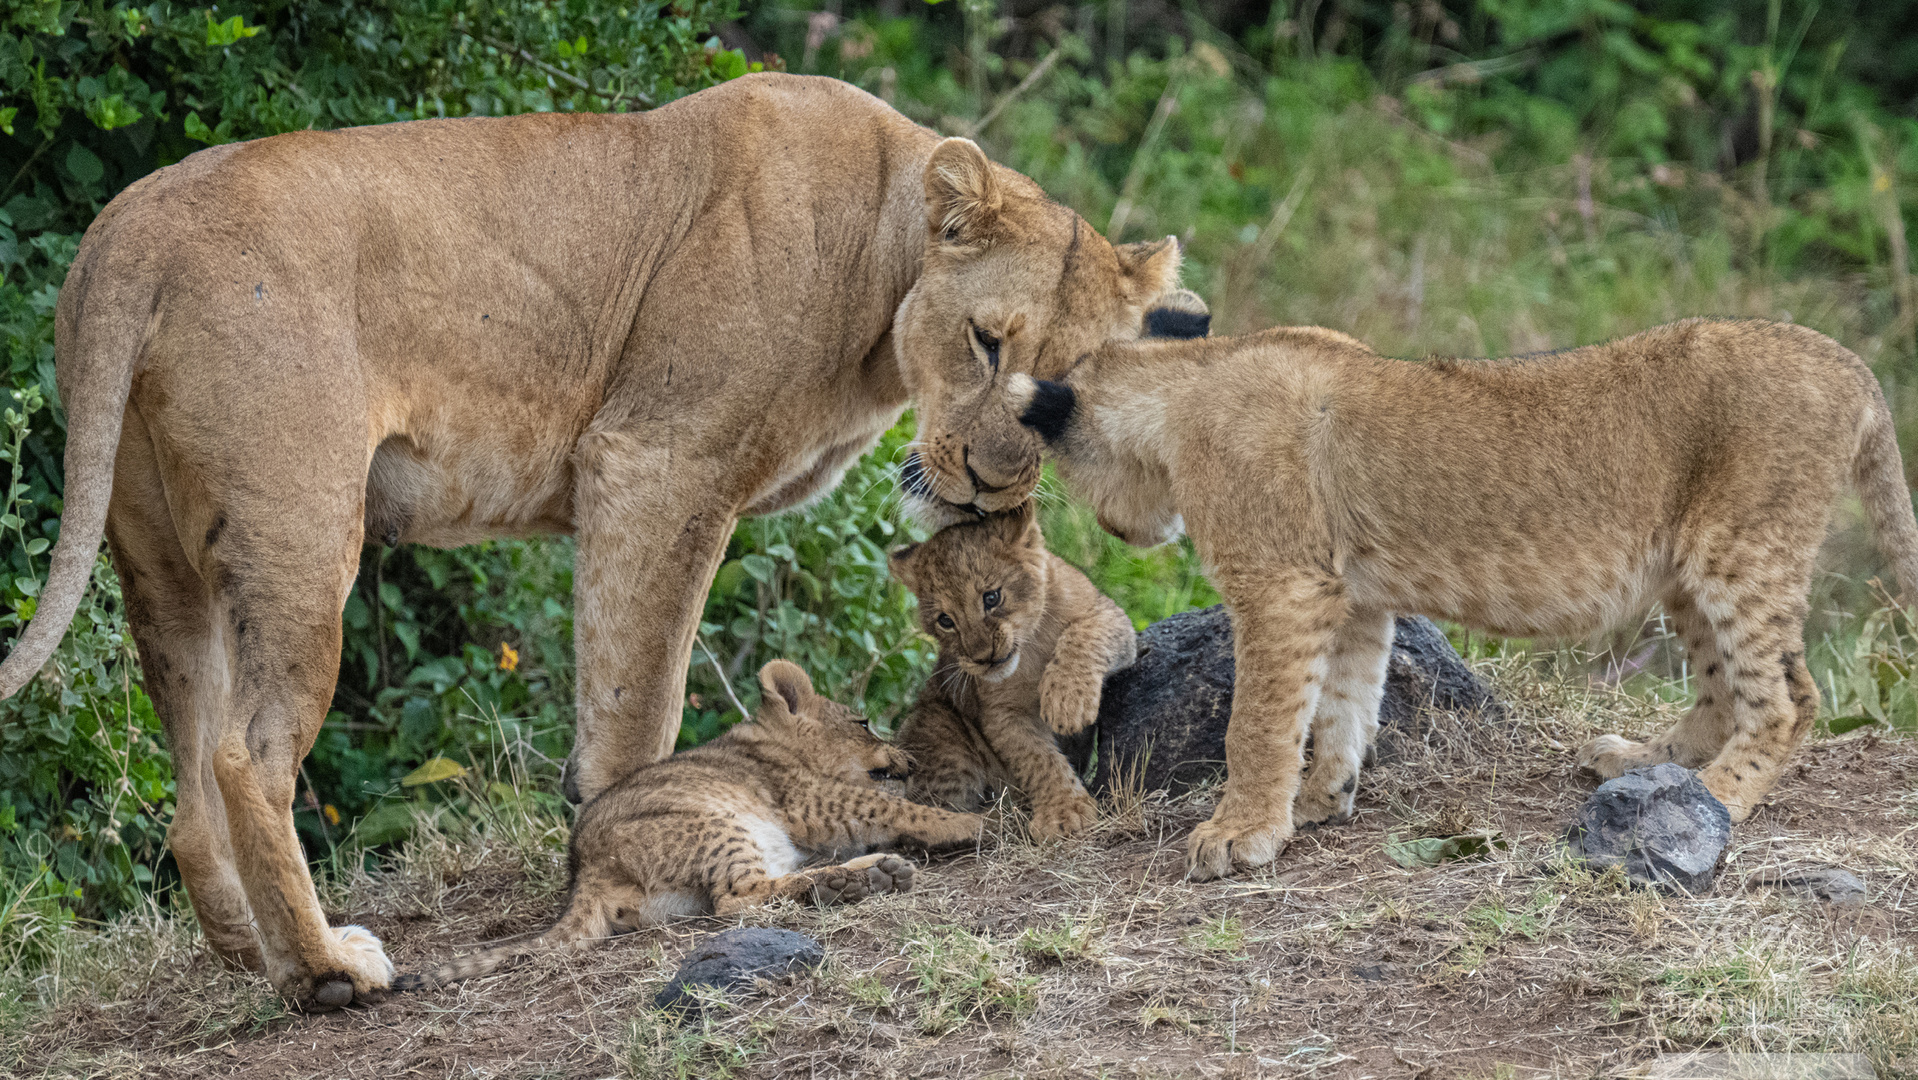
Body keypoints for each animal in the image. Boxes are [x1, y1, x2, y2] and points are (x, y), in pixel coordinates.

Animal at [397, 659, 982, 989]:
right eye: (862, 722)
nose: (910, 758)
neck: (770, 742)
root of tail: (584, 870)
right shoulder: (808, 800)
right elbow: (897, 807)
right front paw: (971, 824)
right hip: (715, 827)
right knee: (738, 899)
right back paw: (857, 879)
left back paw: (866, 876)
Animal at [886, 502, 1135, 840]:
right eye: (945, 620)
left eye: (991, 597)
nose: (982, 659)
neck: (1030, 650)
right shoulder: (1000, 714)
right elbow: (1038, 760)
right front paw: (1063, 813)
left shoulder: (1110, 615)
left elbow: (1084, 635)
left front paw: (1066, 703)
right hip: (937, 724)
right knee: (935, 811)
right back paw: (1005, 815)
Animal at [1020, 310, 1918, 878]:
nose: (1118, 530)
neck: (1180, 392)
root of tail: (1848, 360)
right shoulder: (1352, 596)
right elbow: (1344, 704)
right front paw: (1321, 802)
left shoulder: (1282, 585)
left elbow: (1261, 723)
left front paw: (1241, 834)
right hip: (1689, 567)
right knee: (1720, 688)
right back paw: (1642, 761)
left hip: (1743, 549)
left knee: (1788, 697)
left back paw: (1721, 797)